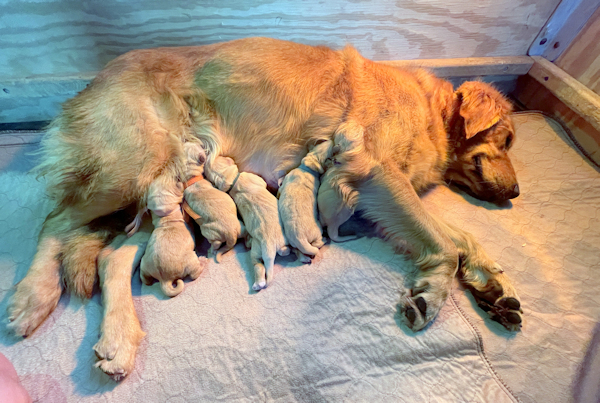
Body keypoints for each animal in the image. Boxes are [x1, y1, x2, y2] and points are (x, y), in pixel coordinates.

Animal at [206, 156, 290, 292]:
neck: (233, 181)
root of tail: (268, 243)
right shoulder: (252, 177)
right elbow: (263, 182)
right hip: (263, 246)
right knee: (259, 264)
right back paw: (259, 283)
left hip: (258, 248)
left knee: (273, 257)